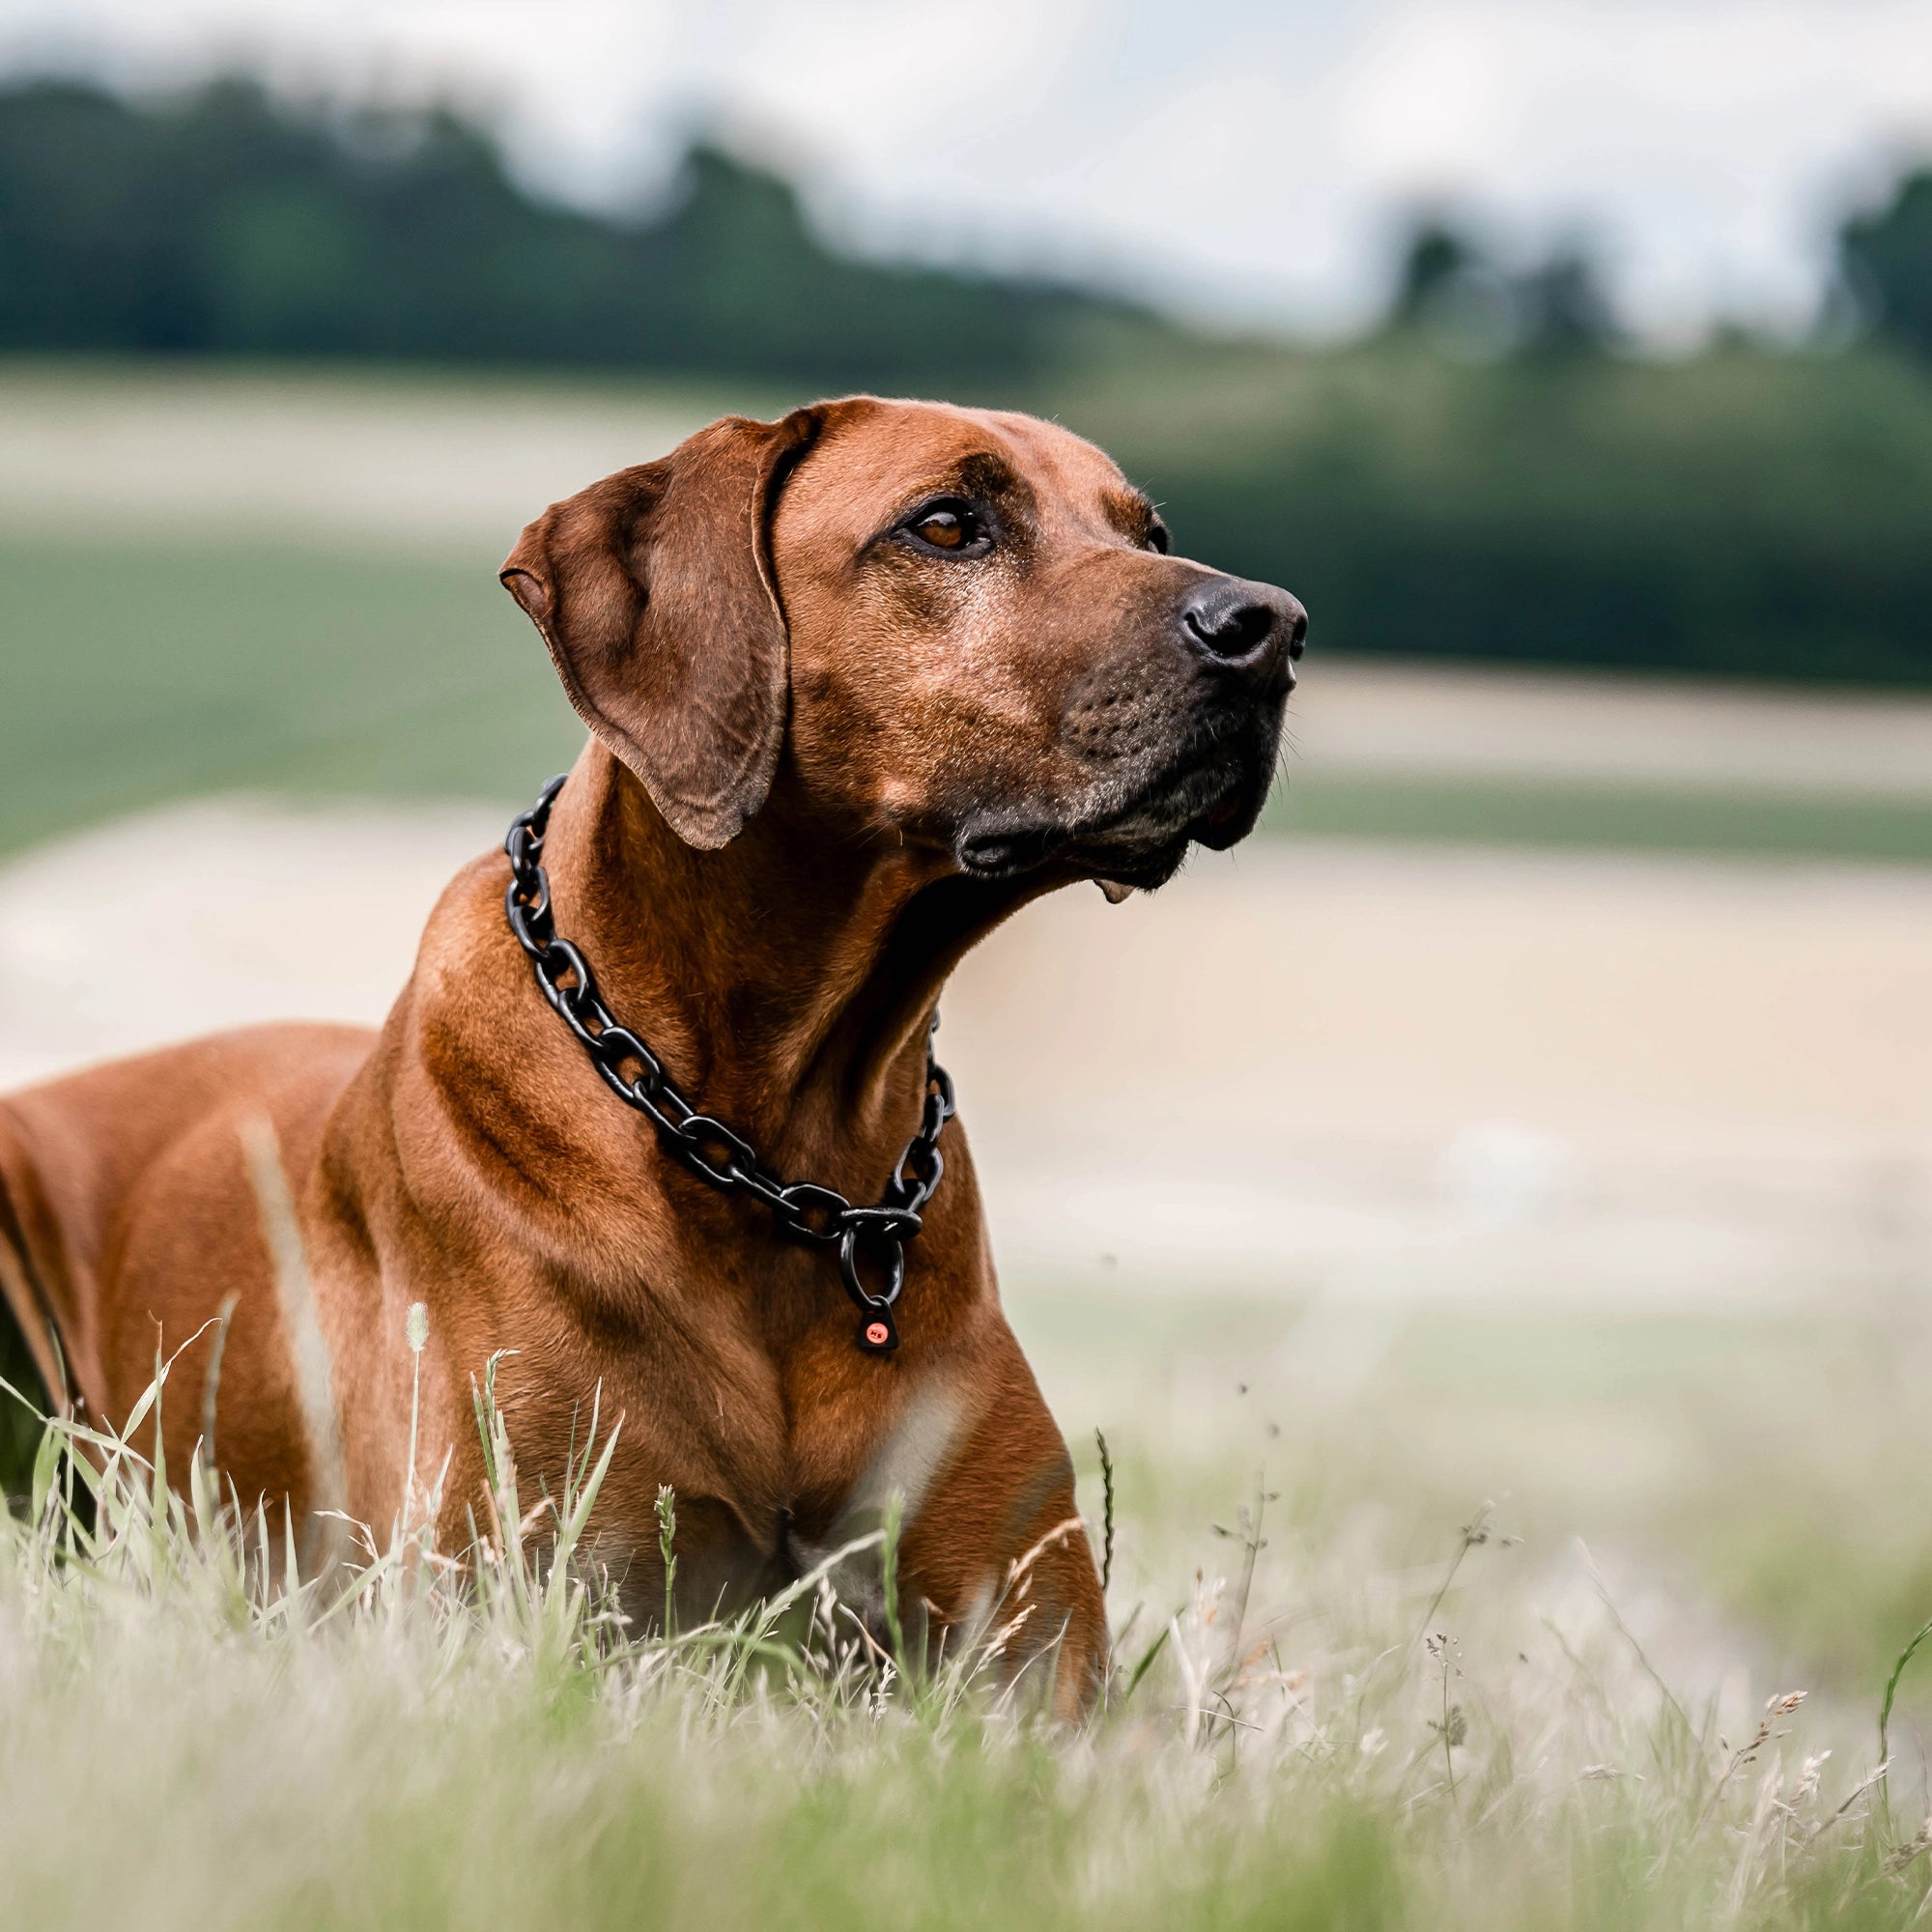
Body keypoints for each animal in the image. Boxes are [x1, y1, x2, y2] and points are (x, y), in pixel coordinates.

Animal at [0, 400, 1306, 1716]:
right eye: (946, 524)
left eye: (1147, 533)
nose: (1274, 628)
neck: (789, 1166)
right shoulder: (506, 1606)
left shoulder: (1039, 1671)